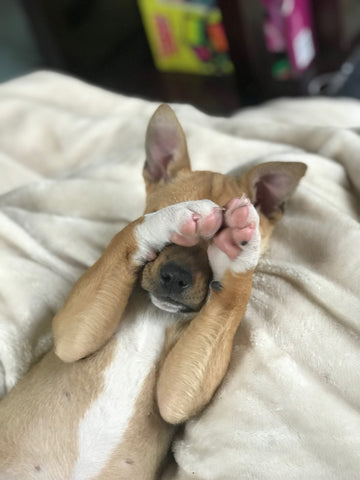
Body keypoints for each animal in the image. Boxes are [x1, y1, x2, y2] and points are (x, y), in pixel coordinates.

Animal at [0, 106, 306, 480]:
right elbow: (128, 233)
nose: (174, 278)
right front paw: (169, 218)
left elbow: (233, 296)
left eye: (213, 251)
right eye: (172, 236)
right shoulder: (72, 336)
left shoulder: (178, 396)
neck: (155, 314)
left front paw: (239, 248)